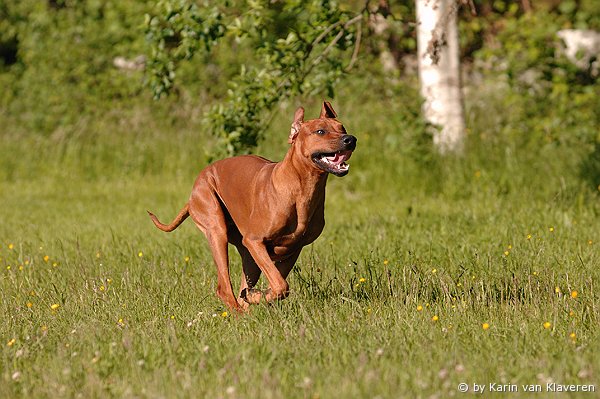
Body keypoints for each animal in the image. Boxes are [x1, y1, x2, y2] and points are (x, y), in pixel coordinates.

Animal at [148, 102, 356, 312]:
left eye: (342, 128)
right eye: (320, 131)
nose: (350, 139)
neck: (303, 189)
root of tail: (194, 189)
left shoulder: (292, 250)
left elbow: (279, 285)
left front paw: (257, 296)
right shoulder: (255, 241)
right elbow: (281, 285)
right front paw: (257, 296)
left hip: (248, 255)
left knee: (242, 288)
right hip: (216, 228)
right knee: (224, 288)